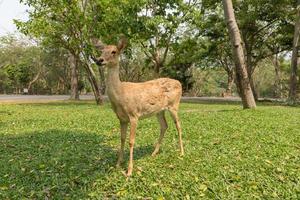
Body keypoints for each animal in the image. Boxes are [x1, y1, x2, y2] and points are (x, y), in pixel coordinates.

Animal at [92, 37, 184, 177]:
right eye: (102, 51)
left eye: (114, 51)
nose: (99, 60)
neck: (121, 94)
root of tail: (180, 83)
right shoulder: (121, 118)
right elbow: (122, 139)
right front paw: (118, 164)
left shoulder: (134, 115)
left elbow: (131, 141)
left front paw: (129, 171)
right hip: (159, 111)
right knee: (164, 126)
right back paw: (154, 153)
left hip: (174, 105)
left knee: (178, 125)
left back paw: (182, 152)